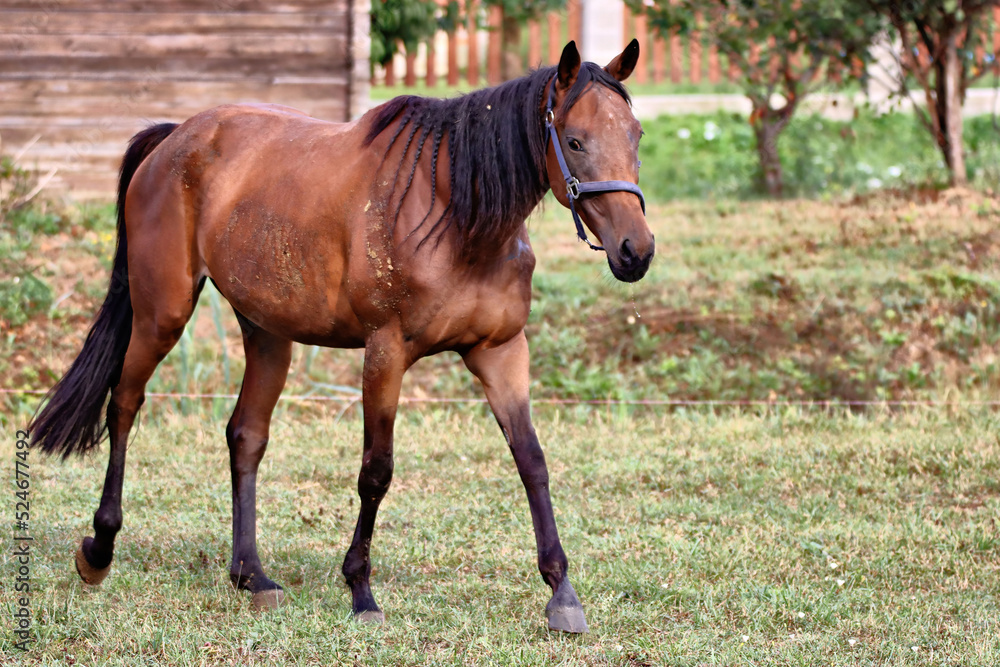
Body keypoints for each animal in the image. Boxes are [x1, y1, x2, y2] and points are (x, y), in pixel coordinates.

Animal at [29, 40, 653, 633]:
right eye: (574, 141)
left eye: (636, 135)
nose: (636, 251)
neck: (455, 213)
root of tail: (172, 139)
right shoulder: (386, 352)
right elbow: (376, 471)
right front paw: (361, 590)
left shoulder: (500, 352)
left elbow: (532, 460)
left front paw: (562, 593)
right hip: (162, 313)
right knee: (124, 404)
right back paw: (100, 548)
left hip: (267, 332)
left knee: (245, 435)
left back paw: (251, 575)